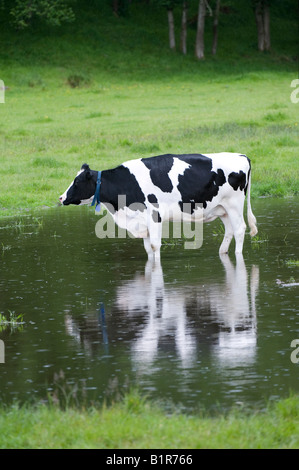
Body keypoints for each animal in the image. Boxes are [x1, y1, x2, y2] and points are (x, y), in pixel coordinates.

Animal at [58, 151, 258, 258]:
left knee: (240, 229)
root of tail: (241, 155)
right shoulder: (141, 222)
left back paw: (238, 255)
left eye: (77, 182)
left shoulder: (154, 216)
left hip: (234, 204)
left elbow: (155, 246)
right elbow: (148, 248)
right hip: (222, 209)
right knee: (230, 230)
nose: (60, 197)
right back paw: (222, 252)